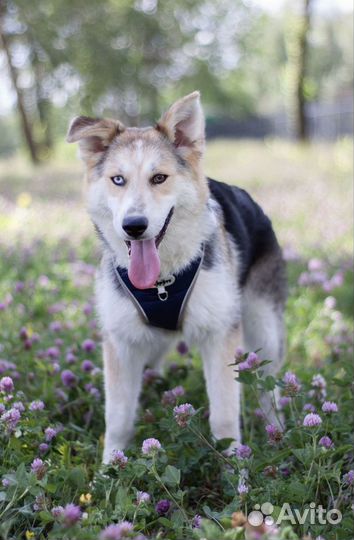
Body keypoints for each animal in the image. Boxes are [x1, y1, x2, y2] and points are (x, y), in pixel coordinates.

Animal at [67, 90, 288, 462]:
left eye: (159, 178)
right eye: (117, 180)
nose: (134, 226)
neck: (163, 281)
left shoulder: (219, 336)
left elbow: (224, 418)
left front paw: (235, 469)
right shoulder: (122, 343)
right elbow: (118, 419)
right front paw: (110, 469)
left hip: (263, 328)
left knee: (268, 389)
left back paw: (278, 432)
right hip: (153, 344)